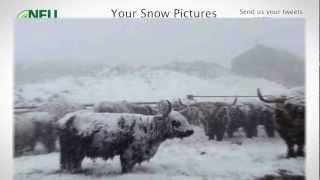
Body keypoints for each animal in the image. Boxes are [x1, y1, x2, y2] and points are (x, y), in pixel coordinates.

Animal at [57, 100, 192, 174]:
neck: (148, 127)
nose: (190, 130)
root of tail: (66, 118)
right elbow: (126, 167)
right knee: (71, 164)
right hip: (73, 151)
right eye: (175, 122)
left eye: (185, 119)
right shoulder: (128, 153)